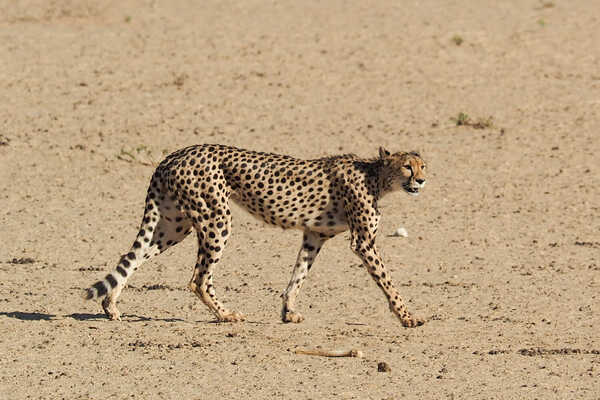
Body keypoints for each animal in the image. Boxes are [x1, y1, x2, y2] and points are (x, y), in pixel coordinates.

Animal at [85, 144, 426, 328]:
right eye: (407, 167)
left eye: (423, 165)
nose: (422, 180)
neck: (376, 175)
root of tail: (175, 154)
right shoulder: (363, 242)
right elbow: (388, 282)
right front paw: (407, 317)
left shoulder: (314, 235)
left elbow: (298, 276)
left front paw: (288, 312)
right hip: (216, 218)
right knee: (198, 279)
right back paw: (226, 315)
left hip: (173, 225)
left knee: (131, 257)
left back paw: (111, 305)